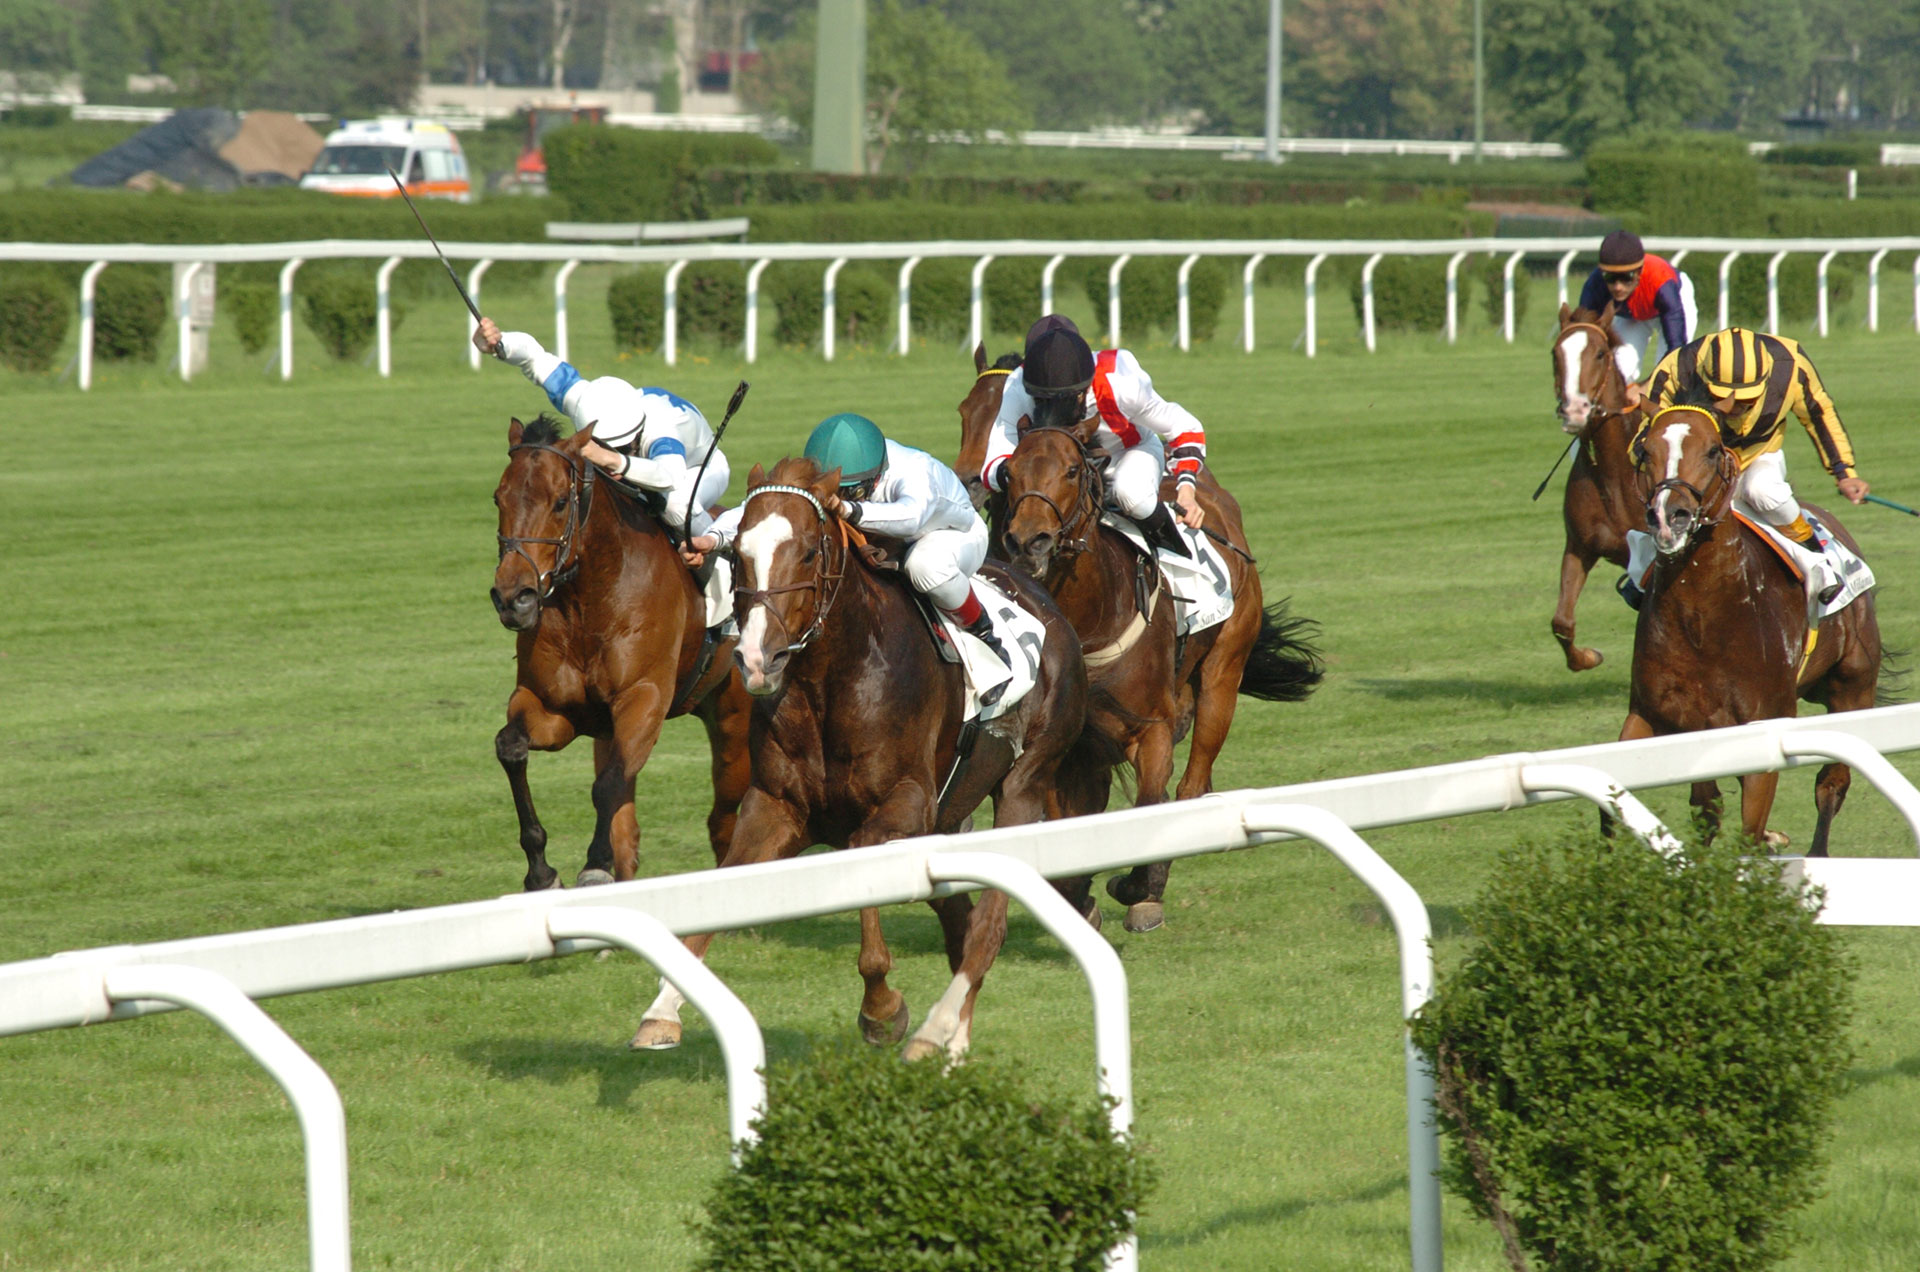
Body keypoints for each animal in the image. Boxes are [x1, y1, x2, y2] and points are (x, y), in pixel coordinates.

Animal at [487, 420, 748, 895]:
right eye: (499, 497)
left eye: (560, 502)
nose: (514, 599)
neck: (589, 600)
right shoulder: (554, 708)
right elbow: (511, 747)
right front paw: (541, 871)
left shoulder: (644, 698)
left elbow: (608, 784)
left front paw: (594, 866)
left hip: (735, 724)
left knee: (724, 815)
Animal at [633, 459, 1098, 1068]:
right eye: (736, 555)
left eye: (810, 552)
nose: (756, 660)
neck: (833, 679)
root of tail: (1049, 606)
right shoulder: (777, 806)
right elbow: (722, 883)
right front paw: (662, 1011)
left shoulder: (906, 802)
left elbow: (864, 867)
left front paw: (882, 1011)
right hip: (949, 814)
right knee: (962, 920)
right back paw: (955, 1037)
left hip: (1025, 781)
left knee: (988, 924)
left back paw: (936, 1029)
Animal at [975, 374, 1320, 933]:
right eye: (1010, 472)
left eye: (1071, 470)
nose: (1029, 541)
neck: (1093, 619)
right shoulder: (1067, 744)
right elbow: (1067, 821)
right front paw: (1078, 895)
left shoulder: (1152, 727)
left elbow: (1150, 802)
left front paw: (1138, 888)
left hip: (1222, 673)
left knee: (1191, 785)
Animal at [1543, 303, 1651, 672]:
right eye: (1555, 353)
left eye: (1601, 354)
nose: (1575, 409)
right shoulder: (1579, 545)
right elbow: (1561, 622)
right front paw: (1588, 657)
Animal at [1620, 403, 1873, 853]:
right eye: (1645, 450)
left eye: (1711, 450)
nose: (1669, 517)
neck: (1703, 622)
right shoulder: (1651, 715)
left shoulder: (1765, 726)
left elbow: (1748, 830)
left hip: (1854, 687)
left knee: (1831, 784)